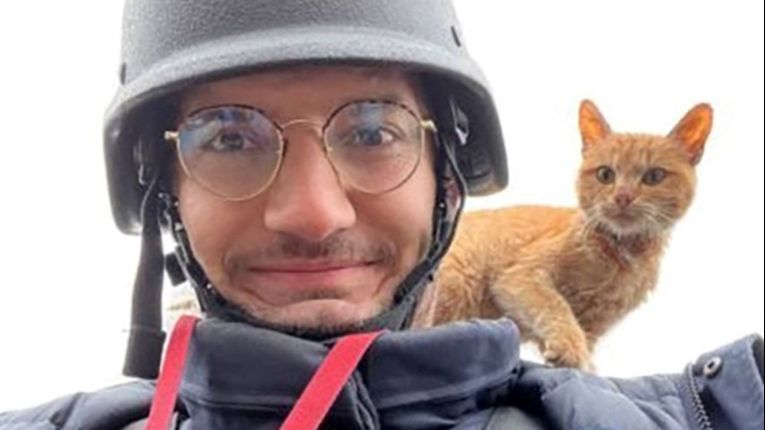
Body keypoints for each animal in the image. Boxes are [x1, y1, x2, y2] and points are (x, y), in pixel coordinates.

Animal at [414, 100, 713, 369]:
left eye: (654, 176)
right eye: (605, 174)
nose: (623, 196)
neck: (623, 255)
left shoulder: (593, 326)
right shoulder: (520, 276)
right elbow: (556, 306)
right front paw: (570, 349)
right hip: (458, 285)